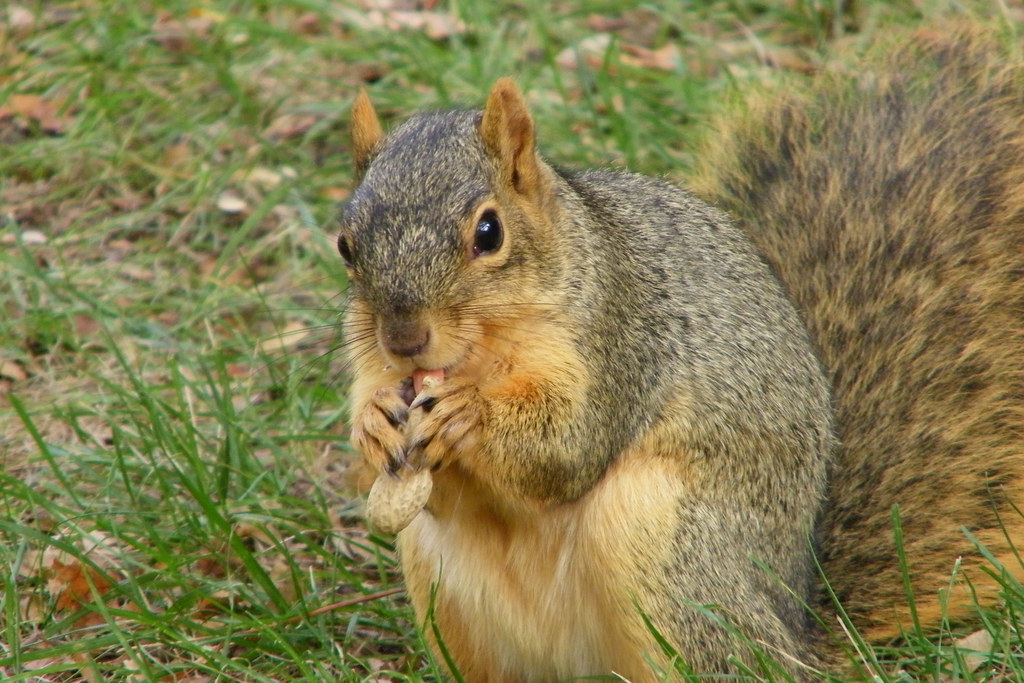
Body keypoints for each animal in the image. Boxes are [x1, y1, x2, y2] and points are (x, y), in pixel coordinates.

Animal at [338, 23, 1024, 682]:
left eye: (489, 231)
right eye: (345, 245)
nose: (404, 339)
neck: (480, 353)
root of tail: (793, 627)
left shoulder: (619, 337)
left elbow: (567, 449)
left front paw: (467, 411)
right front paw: (372, 425)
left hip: (665, 548)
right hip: (444, 592)